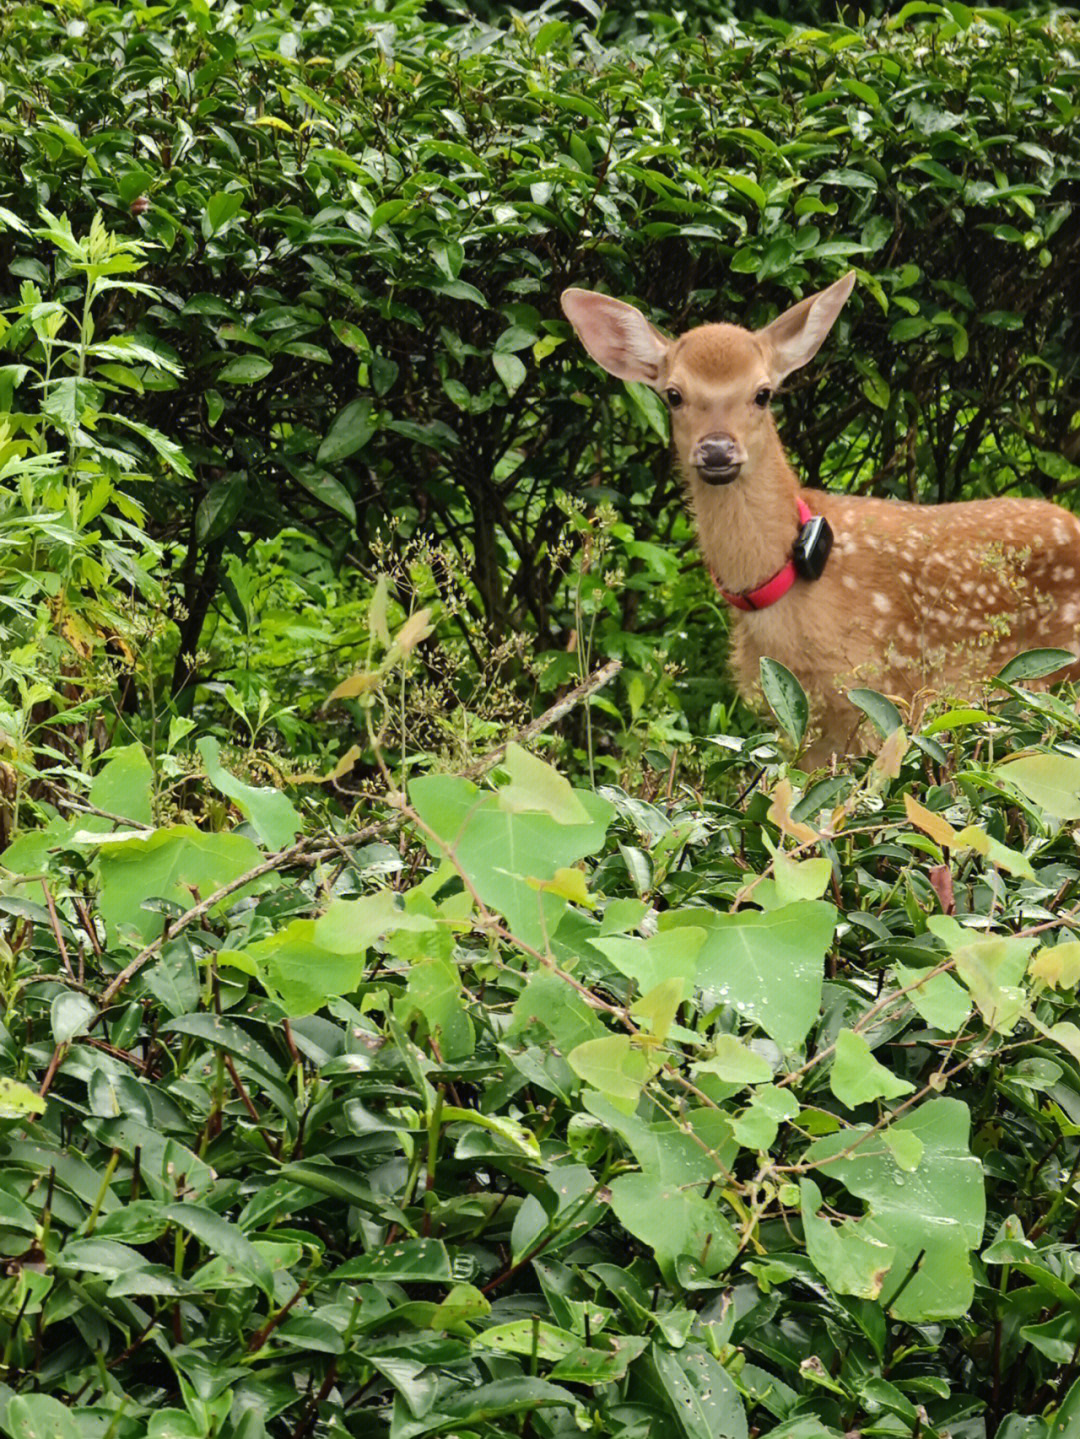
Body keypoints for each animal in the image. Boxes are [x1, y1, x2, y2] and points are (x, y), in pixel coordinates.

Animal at [560, 270, 1080, 765]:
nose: (717, 450)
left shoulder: (881, 695)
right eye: (673, 394)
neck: (790, 591)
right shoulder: (797, 719)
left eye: (763, 393)